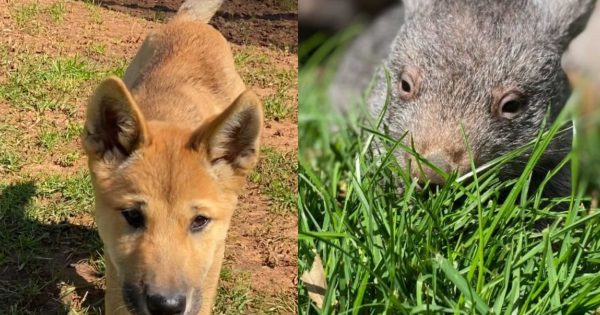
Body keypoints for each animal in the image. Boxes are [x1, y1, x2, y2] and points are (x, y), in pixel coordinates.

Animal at [82, 1, 262, 314]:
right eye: (133, 215)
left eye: (200, 221)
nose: (166, 306)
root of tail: (189, 21)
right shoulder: (117, 271)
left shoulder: (211, 263)